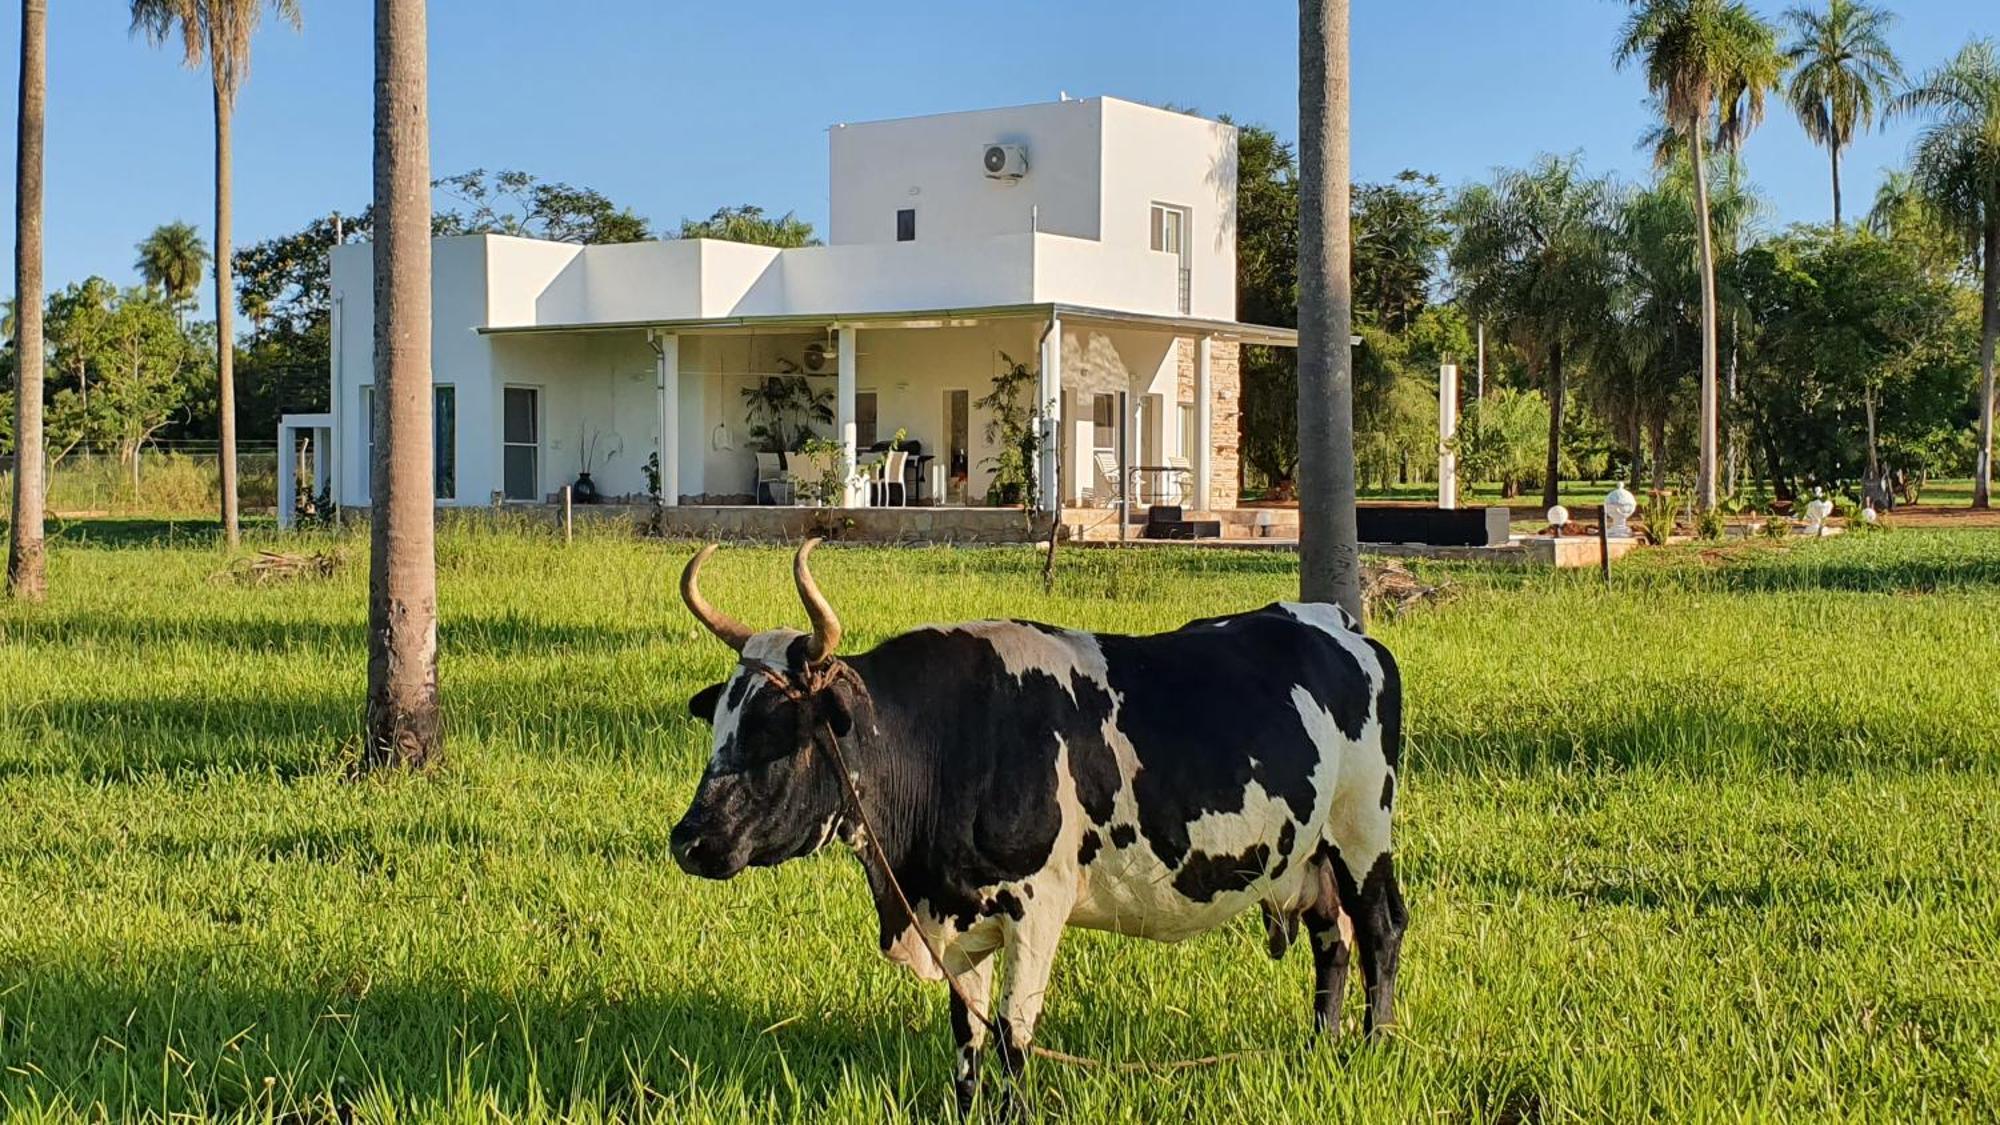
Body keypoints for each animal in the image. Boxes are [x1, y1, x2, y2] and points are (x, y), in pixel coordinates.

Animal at [672, 540, 1408, 1096]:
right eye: (721, 724)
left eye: (780, 728)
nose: (689, 840)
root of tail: (1337, 623)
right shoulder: (956, 920)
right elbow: (968, 1039)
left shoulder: (1037, 908)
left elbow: (1012, 1036)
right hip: (1308, 855)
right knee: (1331, 941)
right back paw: (1319, 1050)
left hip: (1361, 830)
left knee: (1379, 928)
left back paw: (1371, 1048)